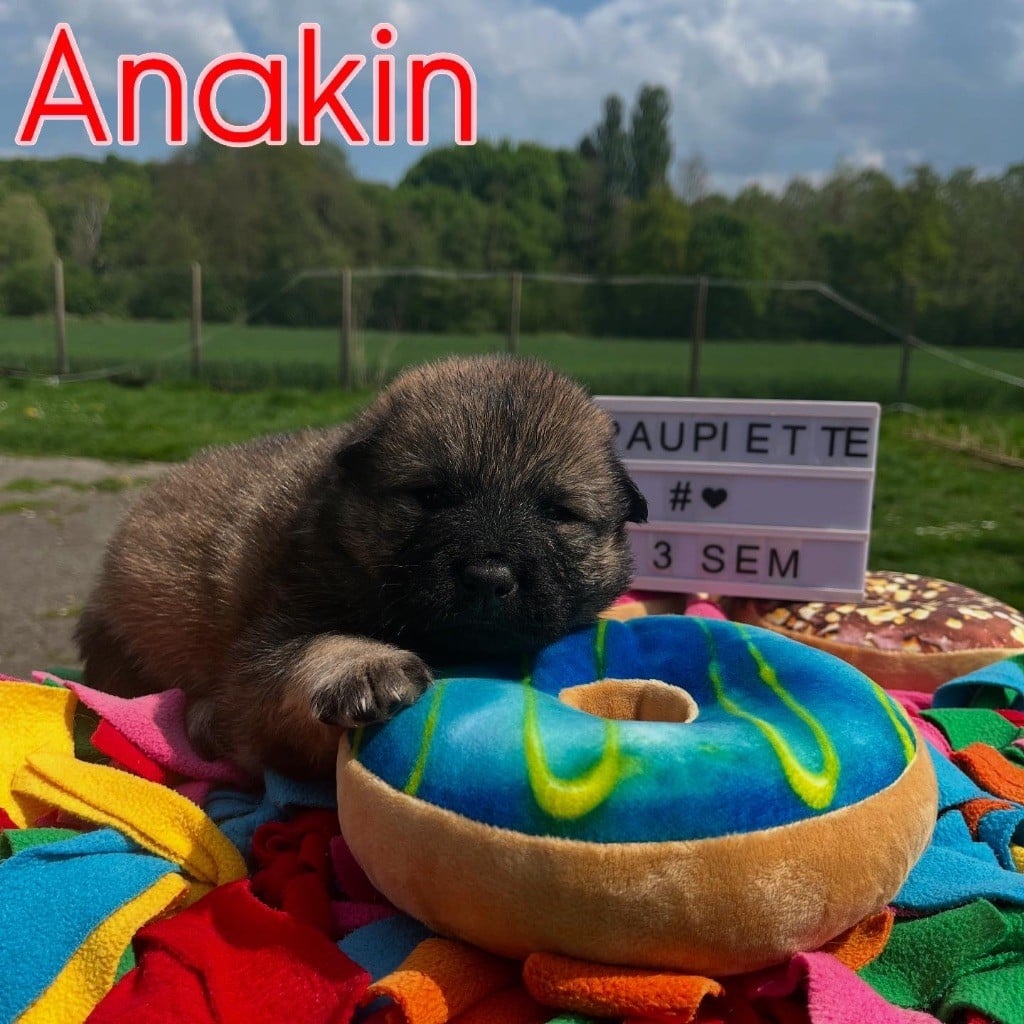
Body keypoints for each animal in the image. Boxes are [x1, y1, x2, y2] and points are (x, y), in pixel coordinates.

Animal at [76, 356, 648, 777]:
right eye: (430, 496)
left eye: (558, 512)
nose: (489, 579)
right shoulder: (264, 655)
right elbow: (307, 649)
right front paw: (365, 666)